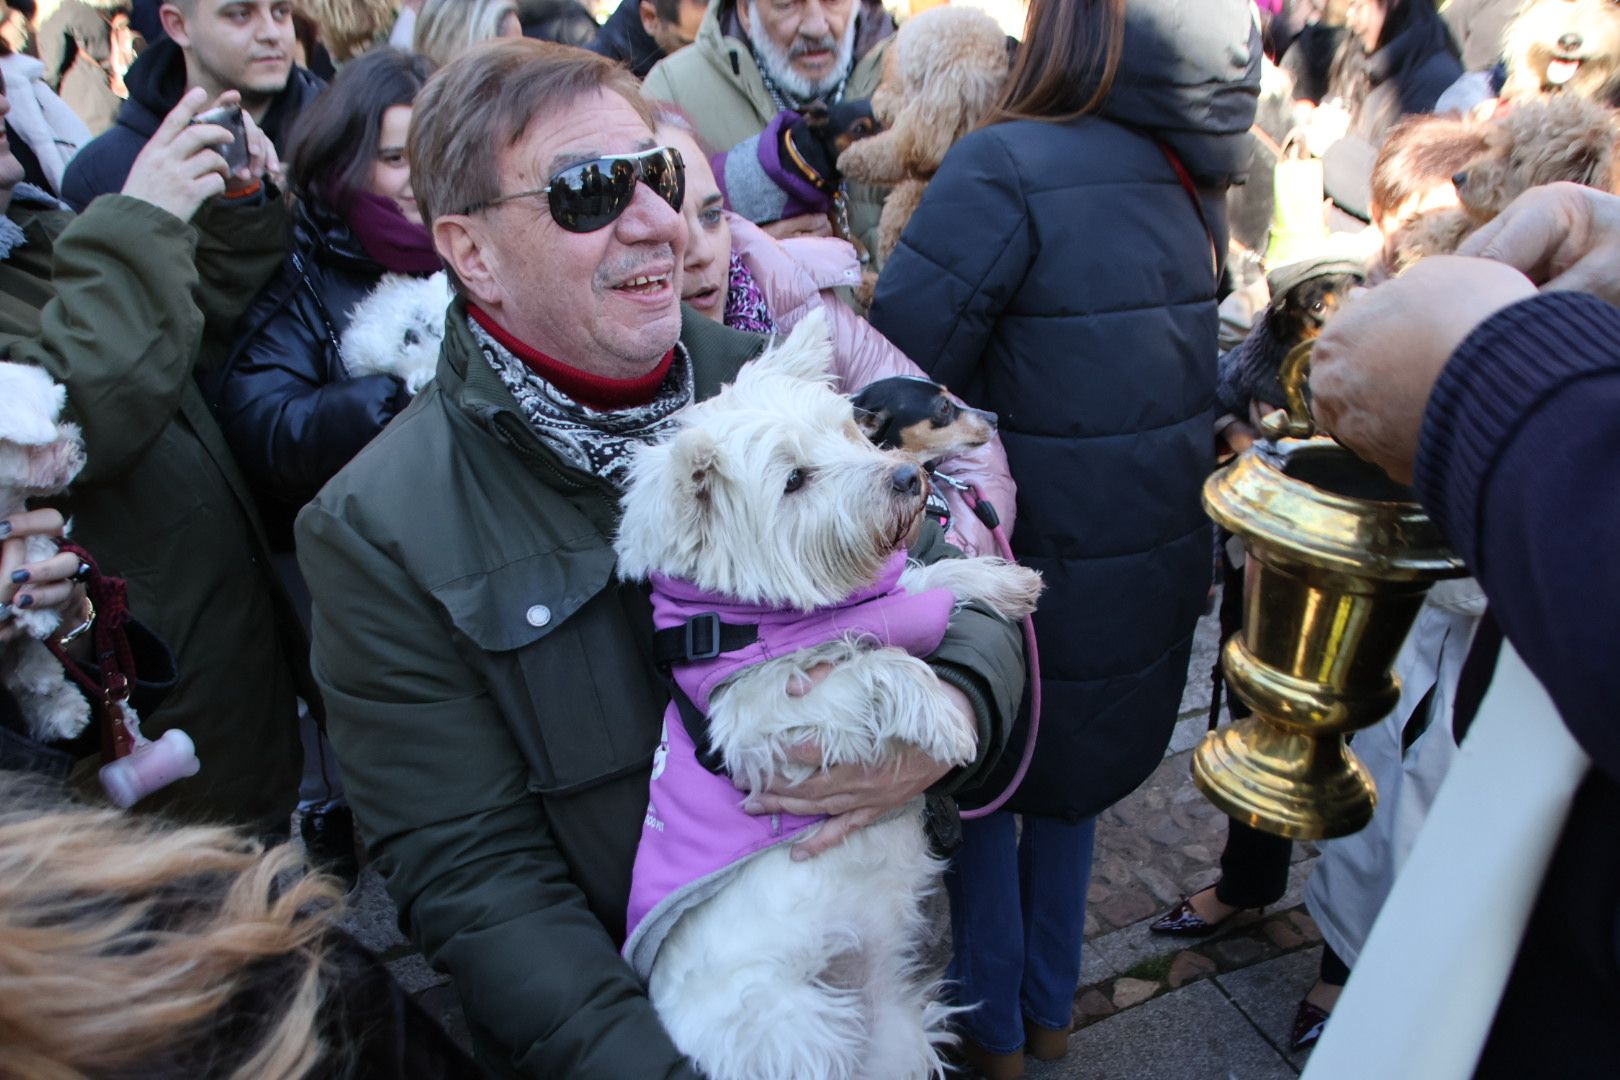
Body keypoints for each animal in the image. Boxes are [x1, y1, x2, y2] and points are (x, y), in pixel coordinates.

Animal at [612, 310, 1043, 1080]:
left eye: (848, 432)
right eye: (794, 478)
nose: (907, 477)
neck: (764, 612)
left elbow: (919, 584)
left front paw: (999, 582)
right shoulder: (752, 719)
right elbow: (872, 662)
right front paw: (941, 716)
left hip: (893, 1032)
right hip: (789, 1029)